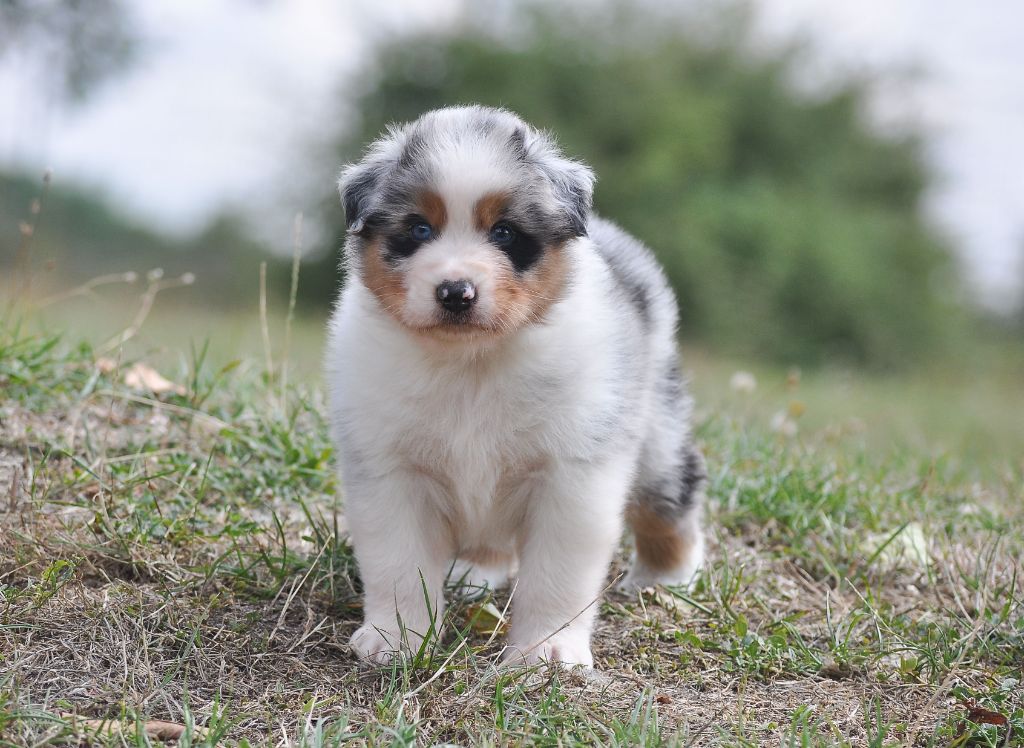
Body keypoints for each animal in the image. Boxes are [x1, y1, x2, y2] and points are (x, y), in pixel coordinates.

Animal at [325, 103, 704, 663]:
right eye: (419, 229)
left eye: (504, 233)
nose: (455, 292)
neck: (472, 363)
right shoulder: (390, 469)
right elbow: (398, 563)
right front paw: (396, 639)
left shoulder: (572, 475)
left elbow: (556, 577)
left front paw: (547, 653)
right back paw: (475, 573)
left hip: (654, 428)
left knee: (673, 493)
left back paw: (669, 577)